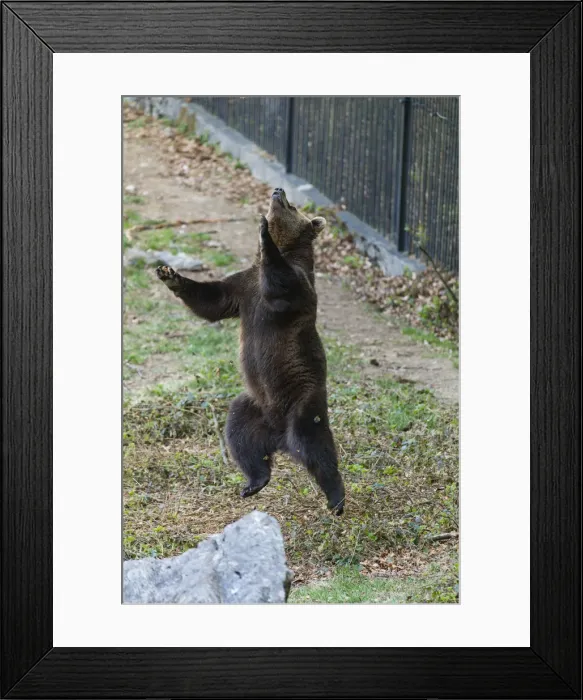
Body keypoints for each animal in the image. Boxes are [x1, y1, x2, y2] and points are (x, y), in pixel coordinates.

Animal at [156, 187, 346, 515]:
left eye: (292, 205)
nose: (278, 191)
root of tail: (280, 437)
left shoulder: (293, 286)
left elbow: (282, 282)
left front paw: (263, 232)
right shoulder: (241, 288)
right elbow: (212, 300)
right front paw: (170, 274)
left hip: (303, 400)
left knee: (316, 445)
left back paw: (336, 499)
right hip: (253, 407)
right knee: (240, 437)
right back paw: (254, 482)